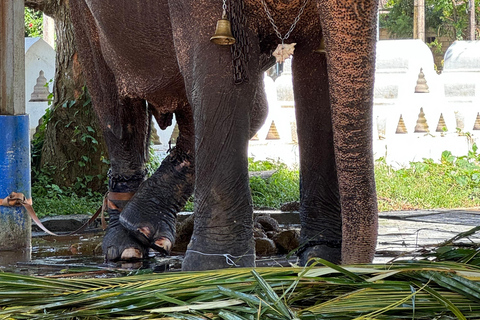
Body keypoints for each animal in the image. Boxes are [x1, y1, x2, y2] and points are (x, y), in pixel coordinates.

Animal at [70, 0, 378, 270]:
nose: (351, 268)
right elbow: (220, 80)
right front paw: (214, 268)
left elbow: (318, 72)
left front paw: (321, 259)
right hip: (84, 20)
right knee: (117, 114)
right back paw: (126, 247)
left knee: (246, 109)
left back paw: (142, 228)